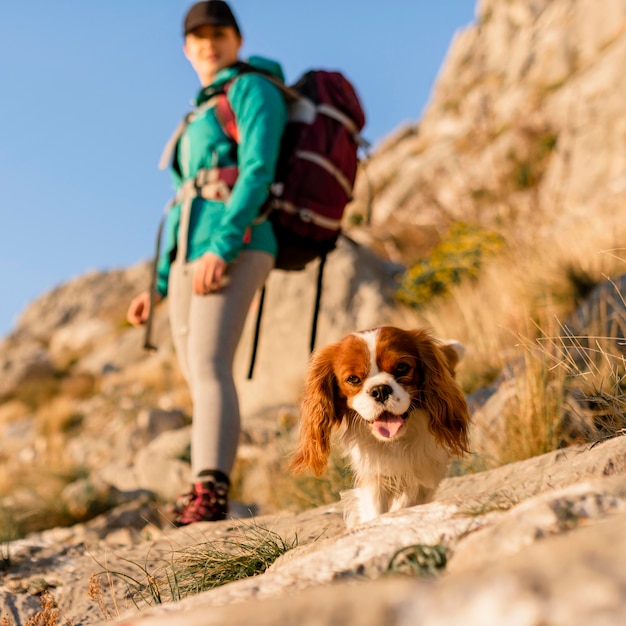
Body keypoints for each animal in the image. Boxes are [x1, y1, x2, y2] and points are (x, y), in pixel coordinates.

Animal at [288, 324, 468, 524]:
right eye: (353, 379)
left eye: (402, 368)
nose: (380, 390)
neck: (395, 442)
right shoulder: (374, 475)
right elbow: (375, 509)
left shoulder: (426, 473)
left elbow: (411, 498)